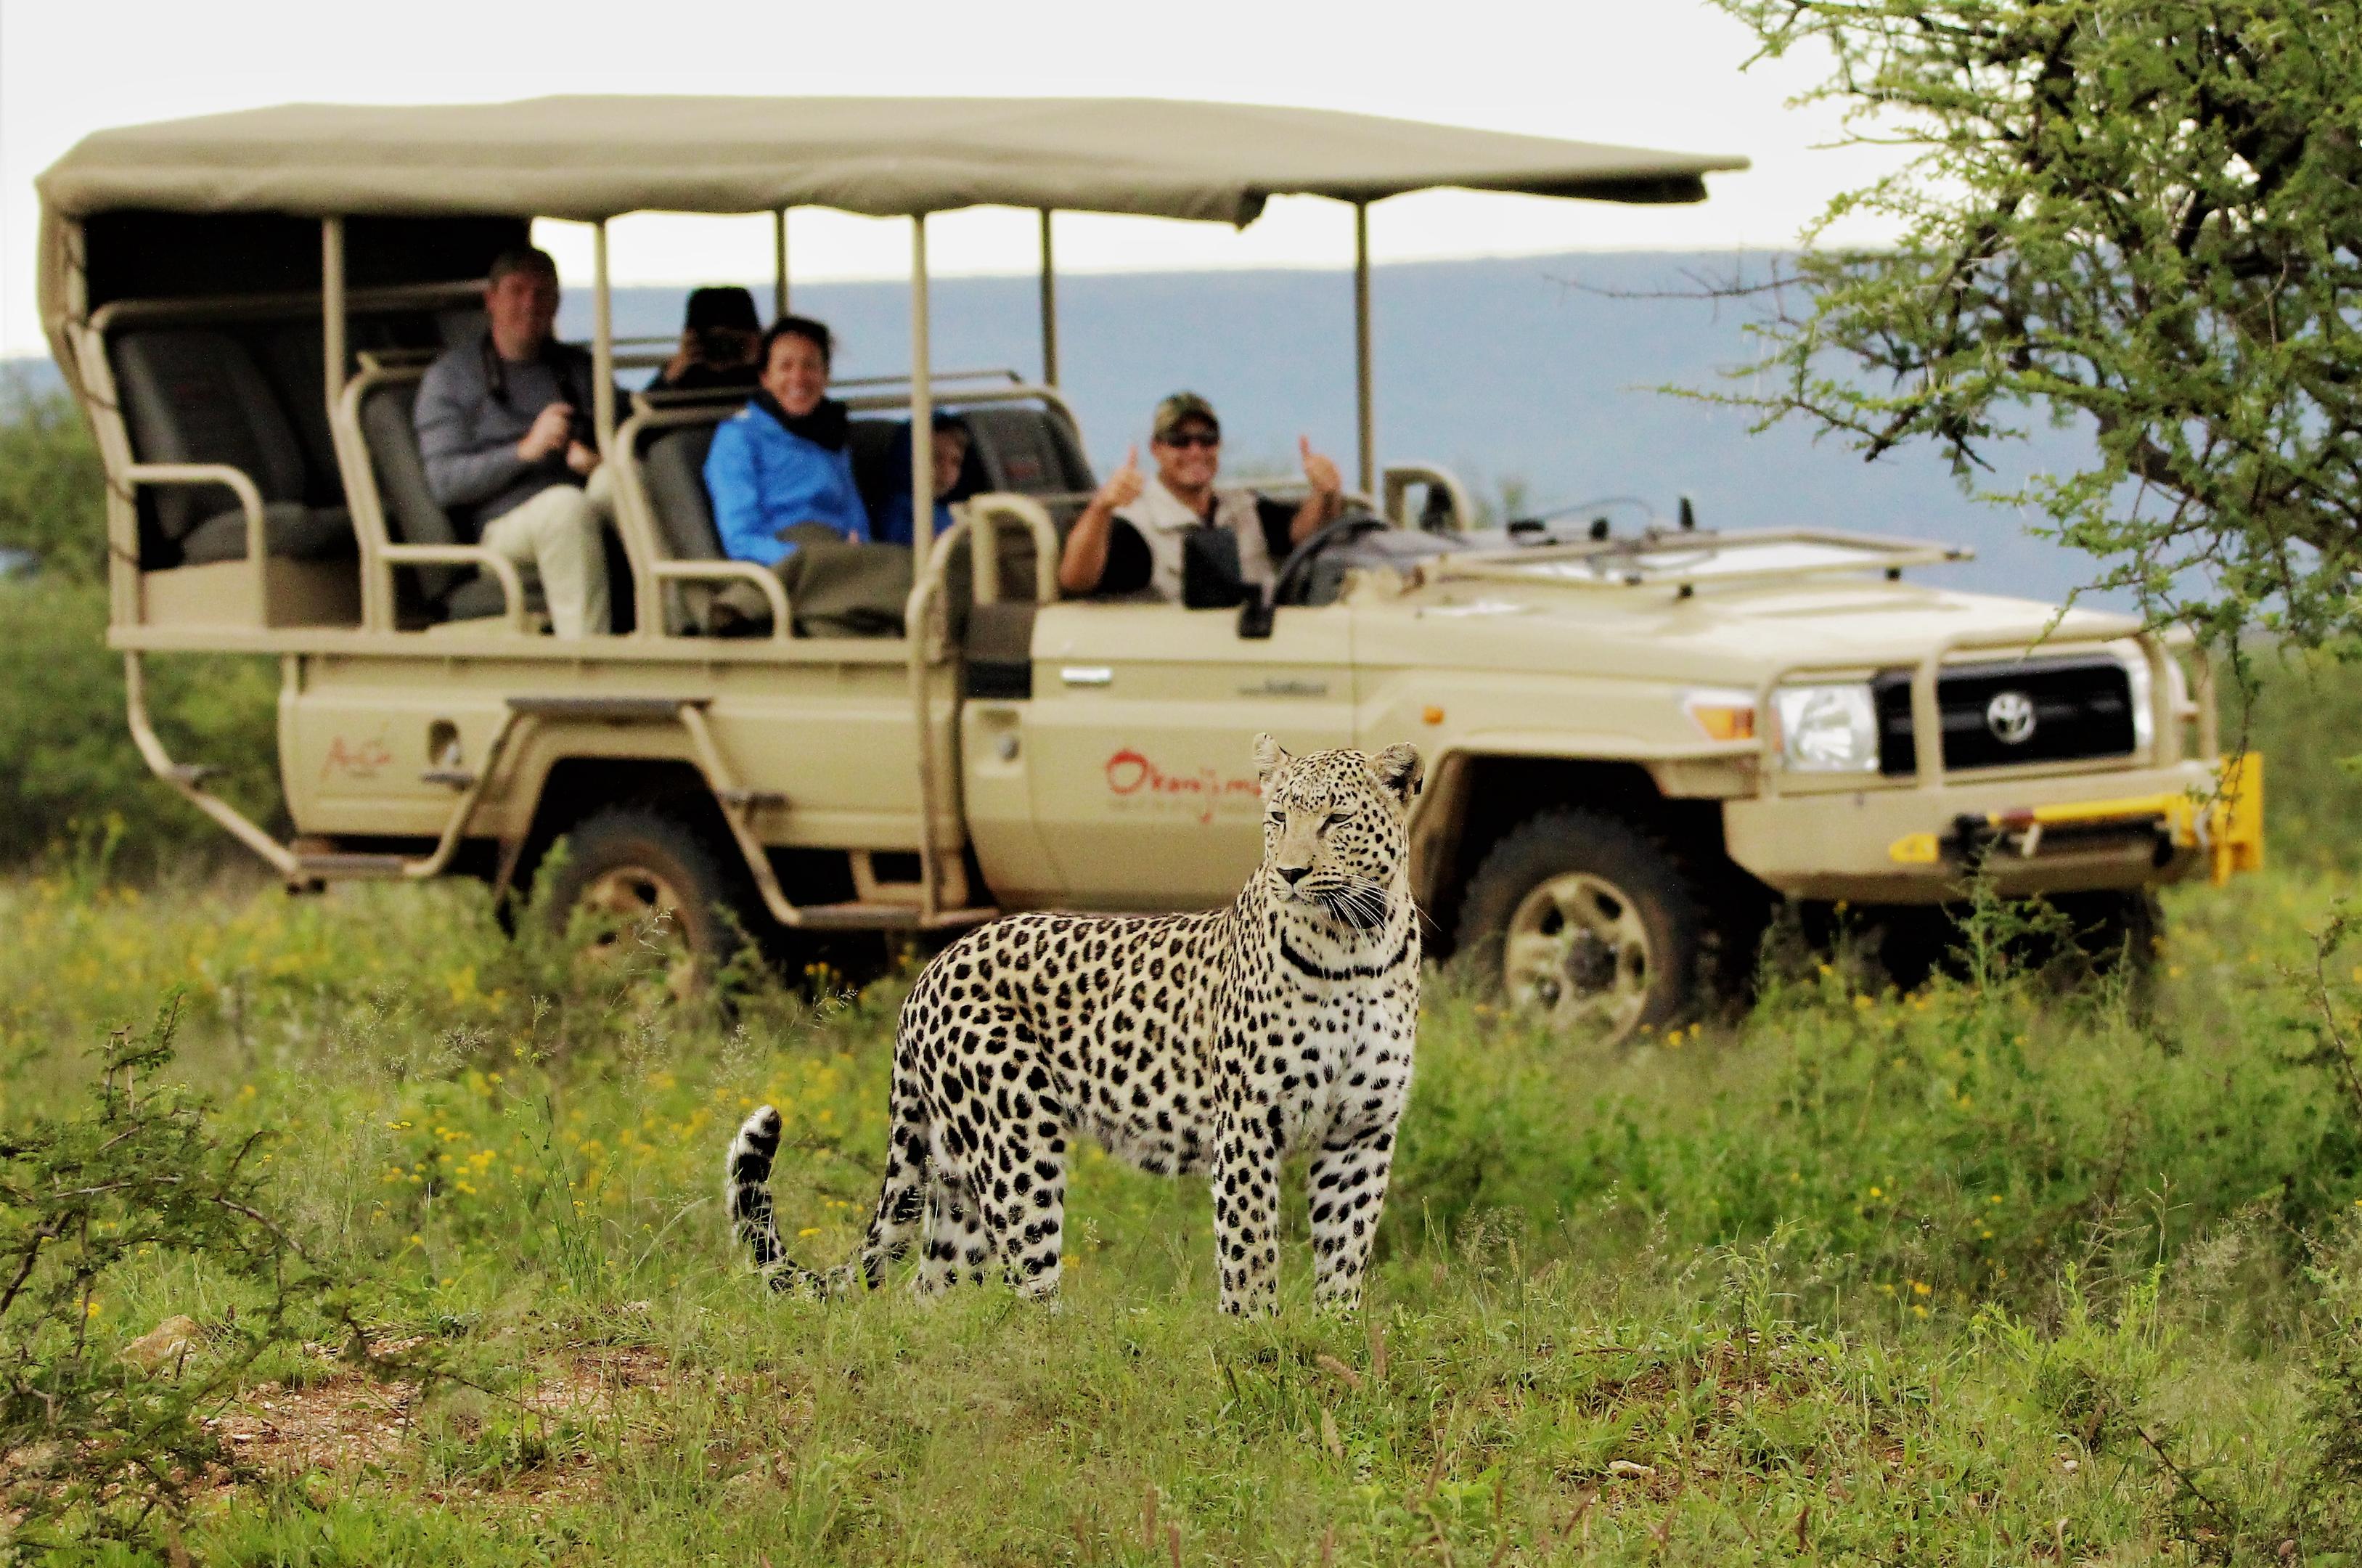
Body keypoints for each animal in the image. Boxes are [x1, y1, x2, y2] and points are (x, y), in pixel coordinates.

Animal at [718, 732, 1417, 1312]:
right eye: (1277, 819)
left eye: (1337, 819)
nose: (1291, 873)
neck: (1353, 949)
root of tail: (930, 970)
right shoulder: (1248, 1124)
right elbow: (1251, 1254)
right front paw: (1256, 1343)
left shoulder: (1362, 1132)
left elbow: (1345, 1252)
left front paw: (1332, 1337)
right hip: (1016, 1140)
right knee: (1030, 1284)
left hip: (956, 1172)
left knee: (930, 1288)